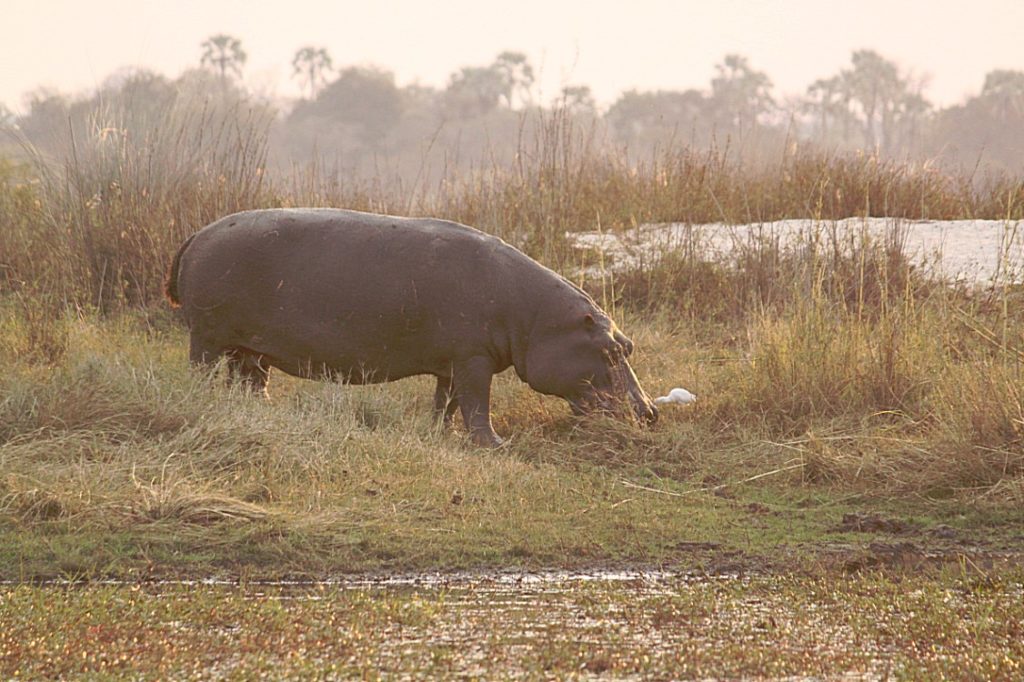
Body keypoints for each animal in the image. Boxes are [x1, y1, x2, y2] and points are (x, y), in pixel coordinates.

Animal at [165, 208, 657, 446]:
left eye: (629, 345)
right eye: (610, 350)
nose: (651, 412)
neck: (536, 318)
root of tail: (196, 234)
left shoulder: (454, 363)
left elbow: (447, 403)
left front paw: (441, 434)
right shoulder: (473, 360)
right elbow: (477, 405)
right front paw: (495, 444)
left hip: (250, 349)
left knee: (250, 383)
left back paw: (262, 414)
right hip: (207, 338)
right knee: (202, 373)